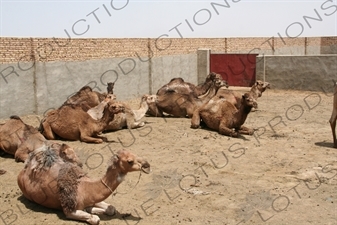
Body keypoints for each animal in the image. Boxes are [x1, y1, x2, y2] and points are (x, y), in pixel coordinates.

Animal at [16, 149, 151, 224]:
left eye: (134, 154)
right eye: (130, 161)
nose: (147, 166)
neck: (84, 187)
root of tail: (24, 170)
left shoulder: (92, 198)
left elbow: (111, 208)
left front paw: (94, 209)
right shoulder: (69, 210)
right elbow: (95, 219)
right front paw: (92, 213)